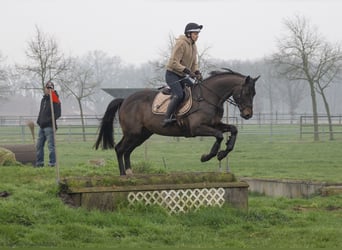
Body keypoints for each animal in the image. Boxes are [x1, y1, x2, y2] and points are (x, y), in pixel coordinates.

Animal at [93, 67, 260, 175]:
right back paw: (123, 175)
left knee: (127, 151)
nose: (248, 115)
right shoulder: (197, 128)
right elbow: (219, 136)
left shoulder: (214, 124)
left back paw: (129, 172)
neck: (208, 97)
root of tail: (125, 100)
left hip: (142, 134)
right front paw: (208, 156)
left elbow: (233, 129)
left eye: (254, 93)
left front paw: (224, 152)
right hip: (132, 133)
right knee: (120, 149)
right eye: (246, 92)